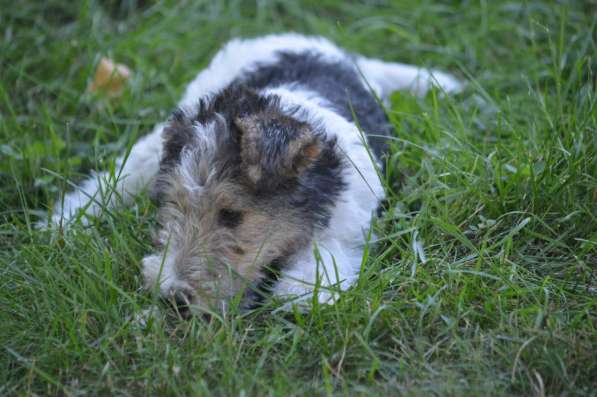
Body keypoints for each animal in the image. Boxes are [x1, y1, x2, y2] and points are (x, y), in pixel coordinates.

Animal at [50, 32, 460, 314]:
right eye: (174, 204)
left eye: (232, 215)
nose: (173, 295)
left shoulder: (348, 221)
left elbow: (324, 253)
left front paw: (299, 295)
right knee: (124, 170)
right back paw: (64, 221)